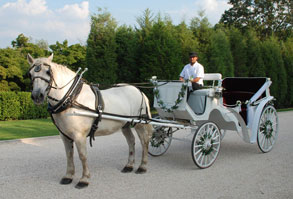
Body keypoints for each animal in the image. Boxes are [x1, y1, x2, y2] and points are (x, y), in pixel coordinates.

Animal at [26, 54, 153, 188]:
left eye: (48, 72)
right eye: (30, 74)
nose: (37, 96)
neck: (71, 98)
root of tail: (139, 91)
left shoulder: (79, 135)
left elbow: (82, 156)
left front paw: (84, 179)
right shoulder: (64, 135)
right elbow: (69, 155)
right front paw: (68, 176)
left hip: (139, 123)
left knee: (144, 141)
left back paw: (142, 166)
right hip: (125, 124)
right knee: (131, 141)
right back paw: (129, 165)